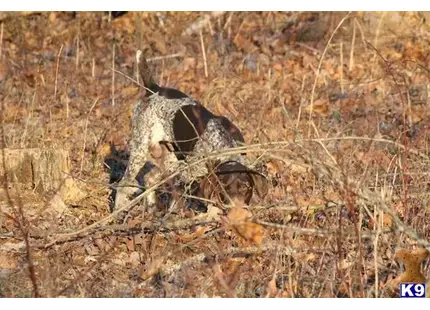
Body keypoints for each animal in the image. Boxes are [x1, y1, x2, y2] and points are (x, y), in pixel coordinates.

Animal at [114, 49, 268, 212]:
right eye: (224, 188)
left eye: (245, 187)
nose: (236, 211)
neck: (224, 145)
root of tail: (154, 89)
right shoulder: (187, 176)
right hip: (140, 150)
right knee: (124, 183)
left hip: (172, 159)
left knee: (150, 178)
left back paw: (151, 209)